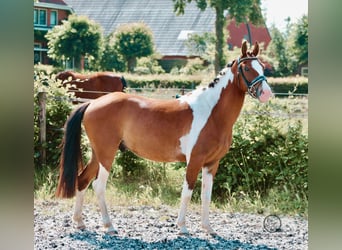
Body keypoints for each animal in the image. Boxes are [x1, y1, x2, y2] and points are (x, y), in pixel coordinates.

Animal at [55, 41, 272, 234]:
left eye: (262, 67)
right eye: (247, 68)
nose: (267, 94)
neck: (212, 112)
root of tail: (92, 104)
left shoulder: (212, 163)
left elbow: (206, 195)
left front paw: (208, 228)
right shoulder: (194, 161)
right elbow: (187, 193)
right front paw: (182, 227)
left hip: (98, 154)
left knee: (82, 180)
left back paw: (80, 222)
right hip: (107, 155)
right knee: (98, 185)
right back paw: (109, 226)